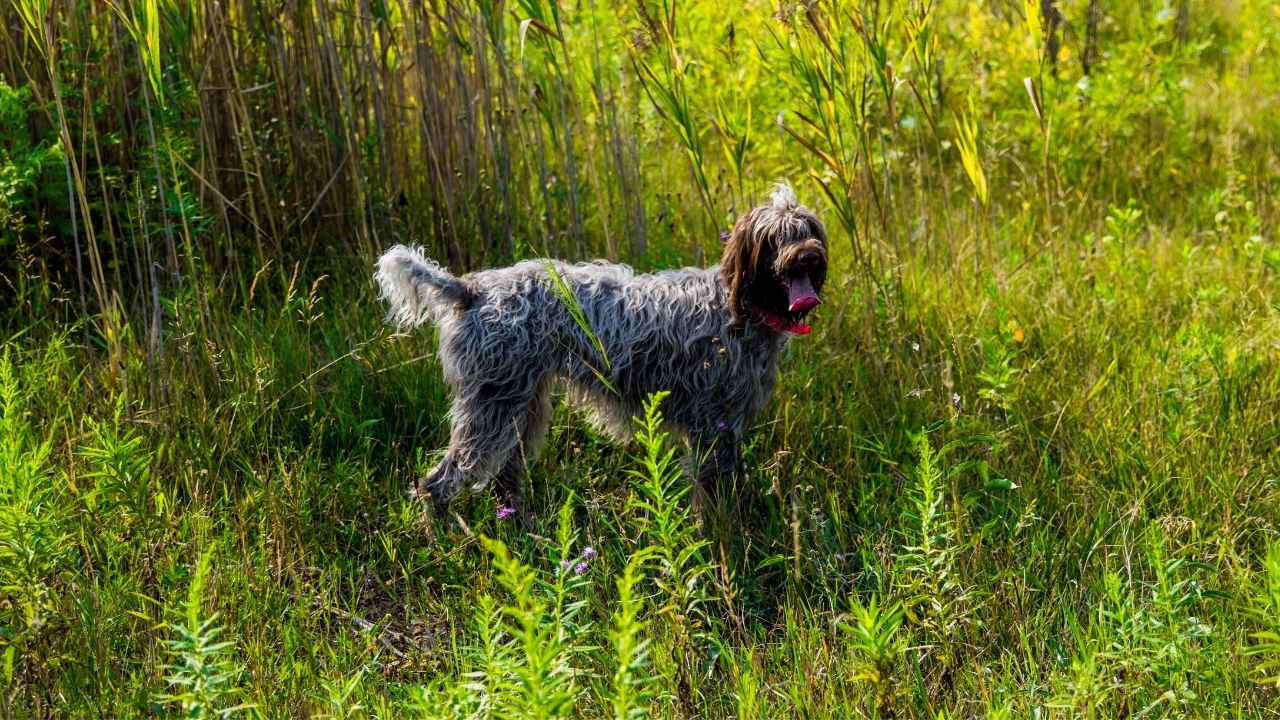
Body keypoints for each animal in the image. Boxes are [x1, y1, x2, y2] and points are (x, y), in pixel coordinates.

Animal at [373, 181, 829, 512]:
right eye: (776, 238)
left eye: (809, 229)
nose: (809, 257)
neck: (738, 307)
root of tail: (471, 290)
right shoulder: (714, 426)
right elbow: (716, 493)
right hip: (491, 411)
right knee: (437, 483)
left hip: (521, 408)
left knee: (504, 481)